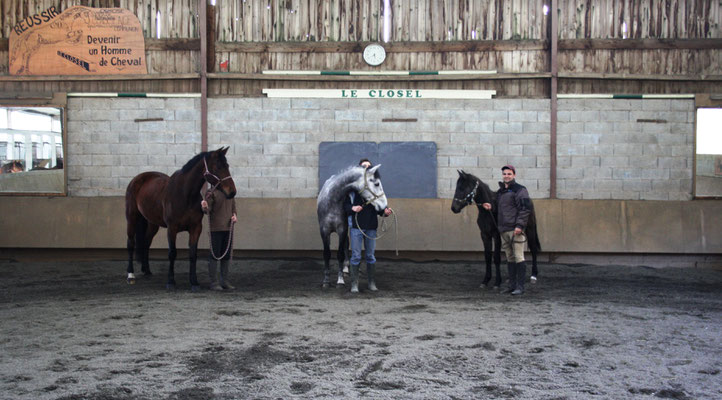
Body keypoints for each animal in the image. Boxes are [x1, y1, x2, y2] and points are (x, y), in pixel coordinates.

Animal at [125, 147, 235, 290]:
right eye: (218, 166)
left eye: (227, 165)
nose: (232, 192)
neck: (185, 194)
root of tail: (137, 178)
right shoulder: (172, 228)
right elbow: (172, 253)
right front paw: (171, 282)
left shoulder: (196, 228)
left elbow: (193, 254)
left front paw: (194, 282)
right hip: (131, 218)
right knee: (130, 243)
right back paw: (130, 275)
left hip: (152, 223)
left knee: (146, 242)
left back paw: (147, 271)